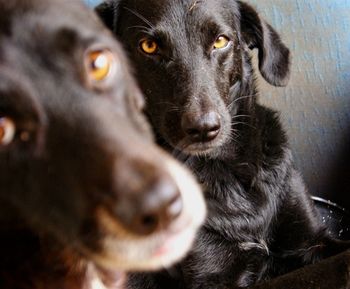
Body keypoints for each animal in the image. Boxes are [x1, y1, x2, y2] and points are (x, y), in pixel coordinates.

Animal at [96, 0, 350, 286]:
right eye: (148, 46)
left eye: (220, 41)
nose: (203, 129)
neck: (226, 172)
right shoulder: (213, 275)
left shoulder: (311, 238)